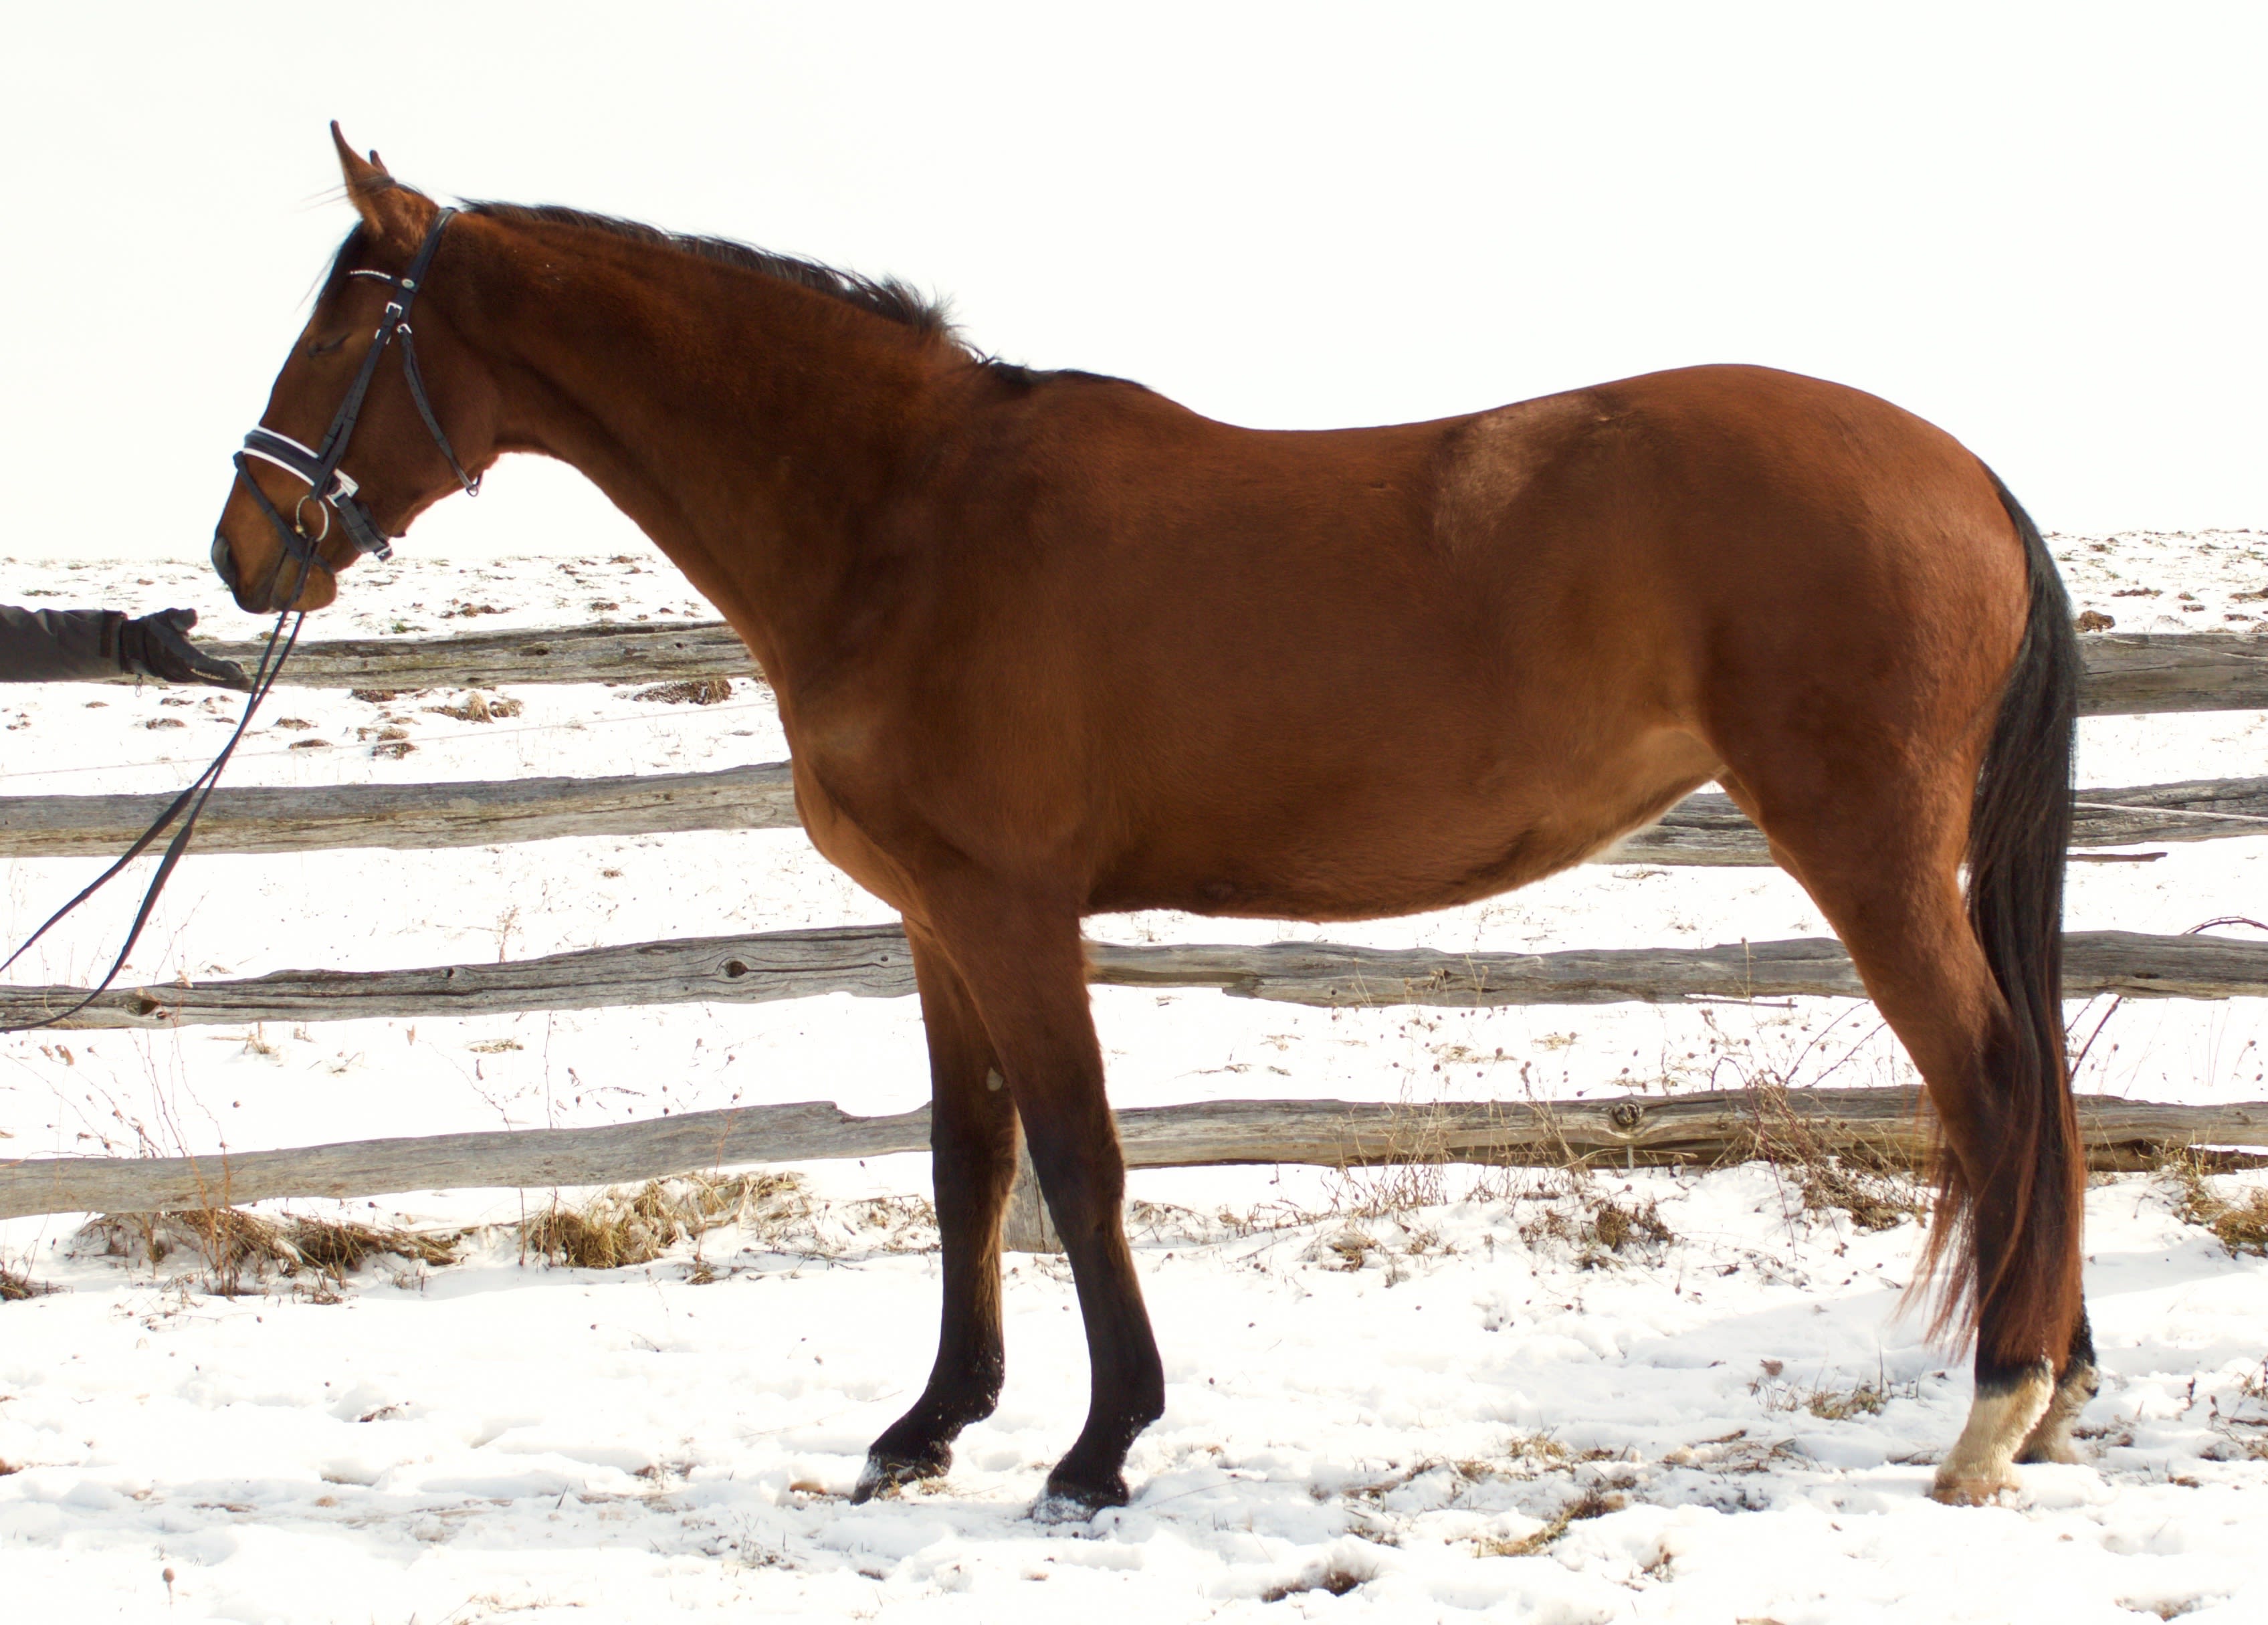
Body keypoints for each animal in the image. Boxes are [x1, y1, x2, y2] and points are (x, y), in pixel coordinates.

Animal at [211, 126, 2090, 1514]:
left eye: (344, 330)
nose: (243, 552)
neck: (906, 516)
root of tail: (1965, 475)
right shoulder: (934, 919)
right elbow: (967, 1163)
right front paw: (928, 1426)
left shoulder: (1015, 914)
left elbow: (1077, 1160)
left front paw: (1097, 1451)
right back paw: (2054, 1390)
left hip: (1862, 853)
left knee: (2000, 1084)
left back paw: (1999, 1406)